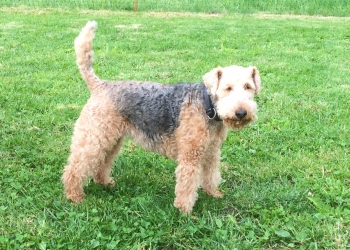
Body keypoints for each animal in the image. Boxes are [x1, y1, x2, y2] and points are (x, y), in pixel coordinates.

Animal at [61, 20, 262, 214]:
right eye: (227, 88)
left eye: (248, 86)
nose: (241, 113)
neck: (208, 107)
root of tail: (100, 85)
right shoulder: (190, 156)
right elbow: (187, 184)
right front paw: (184, 211)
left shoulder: (212, 151)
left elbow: (211, 175)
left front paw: (214, 193)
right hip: (94, 137)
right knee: (74, 168)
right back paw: (74, 196)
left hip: (112, 139)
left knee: (102, 163)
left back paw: (104, 182)